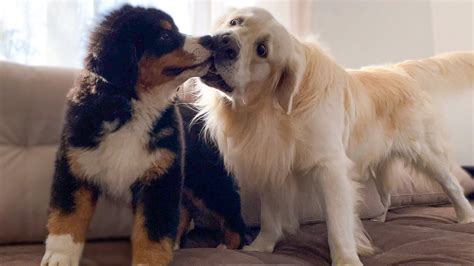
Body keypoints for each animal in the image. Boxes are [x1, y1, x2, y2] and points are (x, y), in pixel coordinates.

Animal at [40, 4, 244, 266]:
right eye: (165, 36)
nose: (210, 40)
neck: (133, 107)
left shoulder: (160, 175)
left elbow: (152, 230)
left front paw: (150, 260)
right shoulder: (75, 165)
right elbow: (68, 217)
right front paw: (59, 257)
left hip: (204, 177)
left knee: (231, 209)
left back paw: (228, 247)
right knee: (187, 210)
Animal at [194, 7, 472, 264]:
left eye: (262, 49)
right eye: (235, 22)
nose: (224, 42)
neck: (268, 110)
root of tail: (398, 70)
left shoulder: (329, 167)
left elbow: (338, 223)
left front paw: (346, 259)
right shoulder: (273, 162)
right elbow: (270, 215)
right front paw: (261, 247)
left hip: (425, 152)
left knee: (452, 184)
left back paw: (465, 217)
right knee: (385, 192)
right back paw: (379, 218)